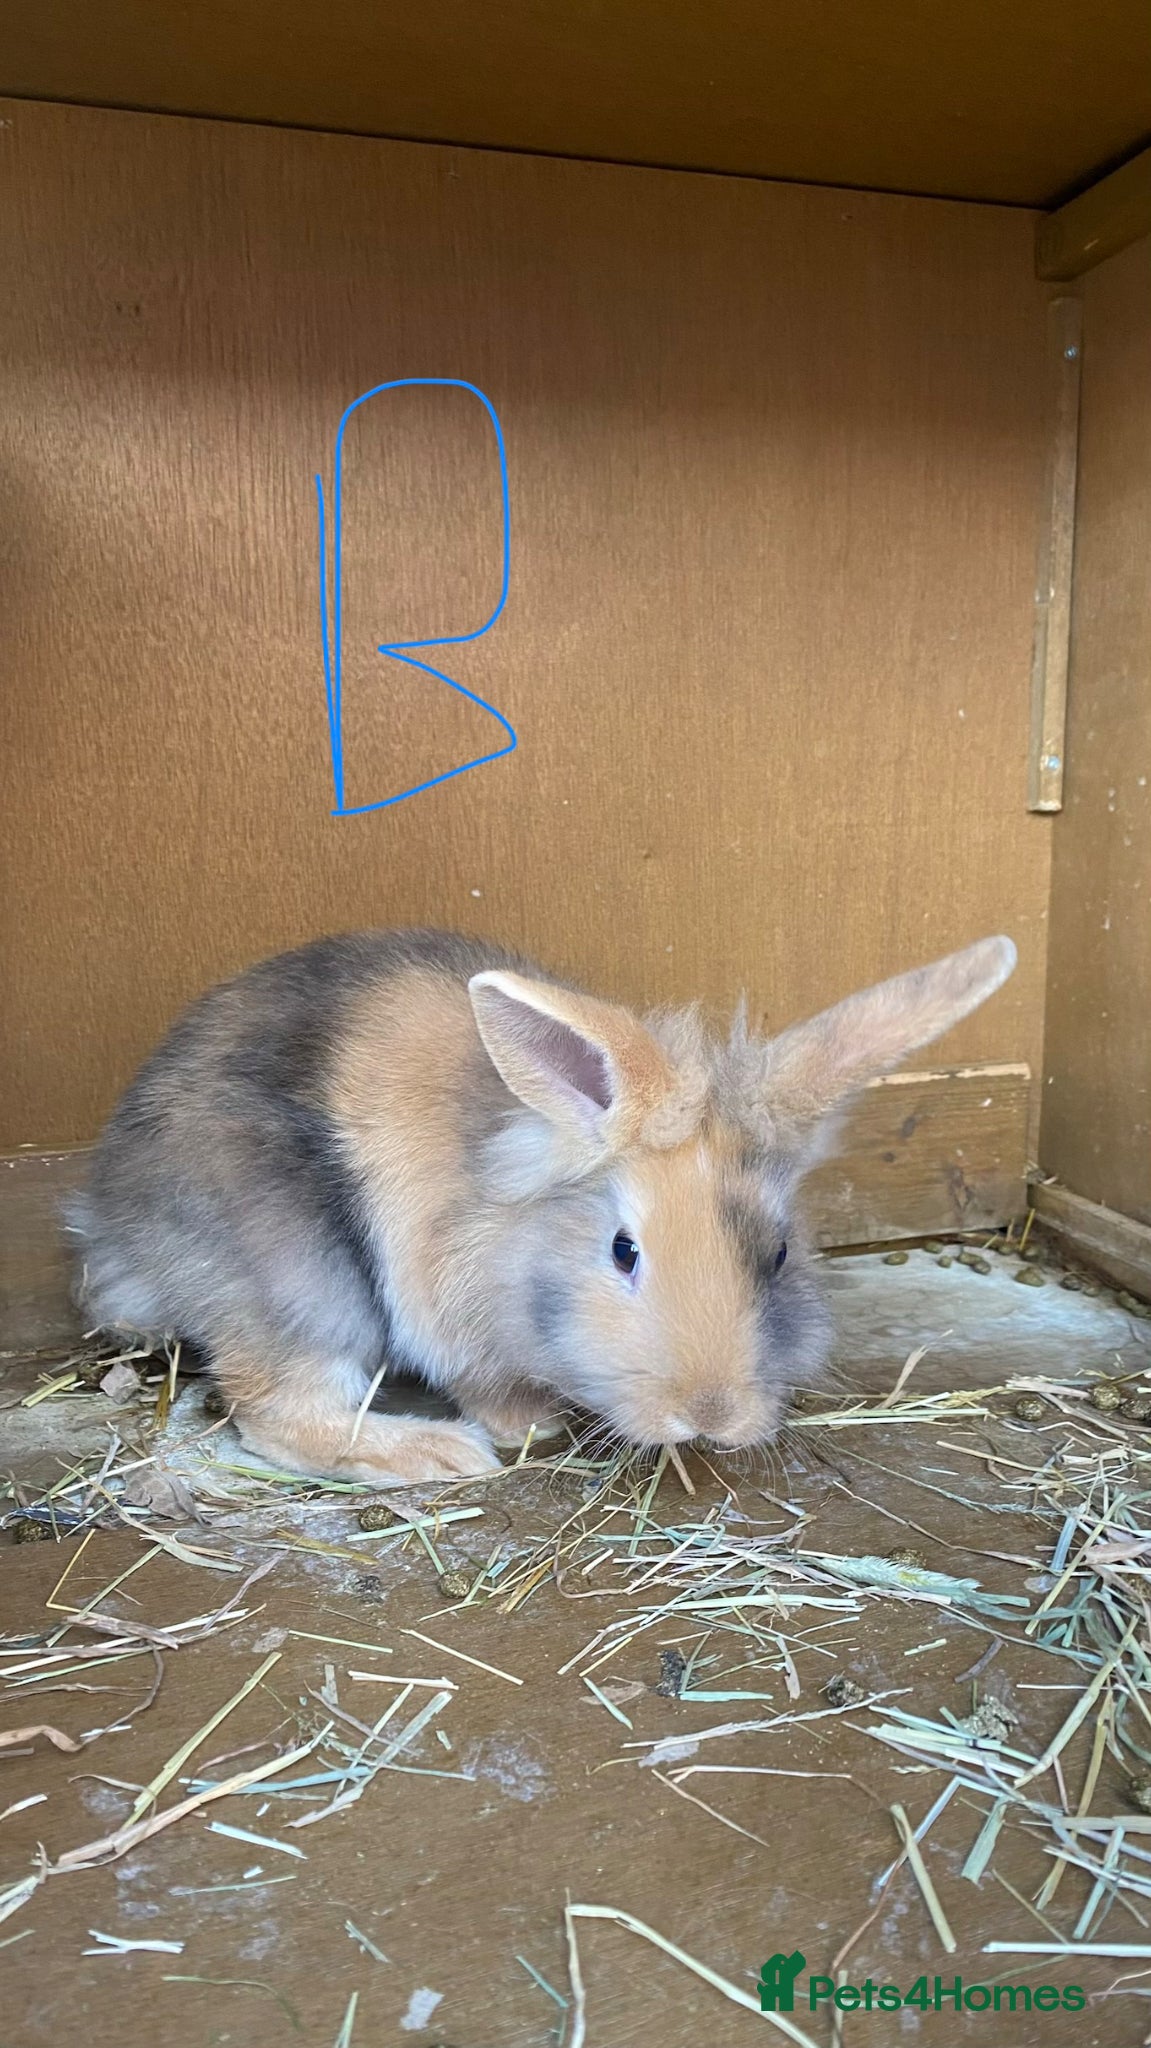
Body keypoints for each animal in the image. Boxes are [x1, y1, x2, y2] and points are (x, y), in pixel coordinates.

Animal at [65, 926, 1016, 1486]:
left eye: (778, 1255)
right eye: (623, 1252)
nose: (709, 1418)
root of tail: (113, 1228)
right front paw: (527, 1427)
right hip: (300, 1284)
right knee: (275, 1416)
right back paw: (438, 1453)